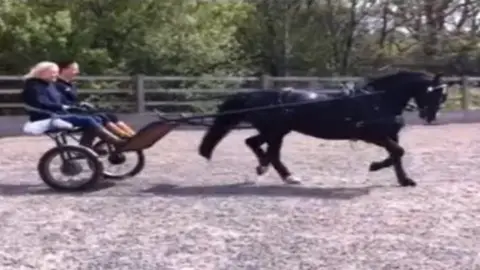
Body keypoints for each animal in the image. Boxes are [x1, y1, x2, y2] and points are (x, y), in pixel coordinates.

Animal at [197, 70, 448, 187]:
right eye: (435, 93)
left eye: (442, 96)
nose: (430, 117)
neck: (377, 100)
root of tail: (253, 95)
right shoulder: (370, 135)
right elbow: (397, 152)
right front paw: (375, 166)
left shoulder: (389, 134)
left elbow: (397, 155)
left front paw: (404, 180)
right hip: (275, 131)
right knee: (258, 146)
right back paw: (271, 169)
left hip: (278, 131)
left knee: (261, 147)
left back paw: (277, 171)